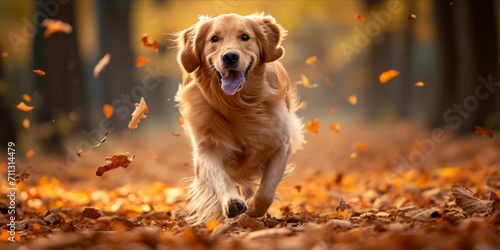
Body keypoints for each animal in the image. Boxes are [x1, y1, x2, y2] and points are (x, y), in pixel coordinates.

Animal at [174, 13, 302, 225]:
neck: (238, 105)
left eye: (245, 37)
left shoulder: (281, 144)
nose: (230, 57)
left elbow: (266, 192)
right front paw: (232, 202)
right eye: (214, 39)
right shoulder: (205, 148)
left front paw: (252, 209)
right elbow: (220, 176)